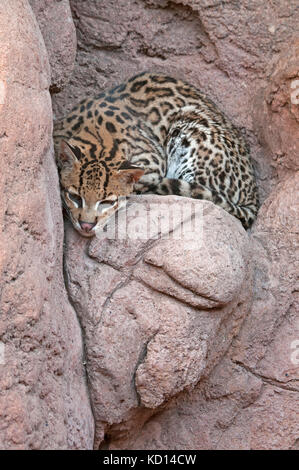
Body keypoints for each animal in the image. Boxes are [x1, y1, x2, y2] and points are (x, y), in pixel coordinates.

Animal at [52, 71, 258, 237]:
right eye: (74, 197)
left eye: (107, 201)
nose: (86, 226)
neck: (97, 139)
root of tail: (254, 194)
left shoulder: (154, 161)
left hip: (189, 127)